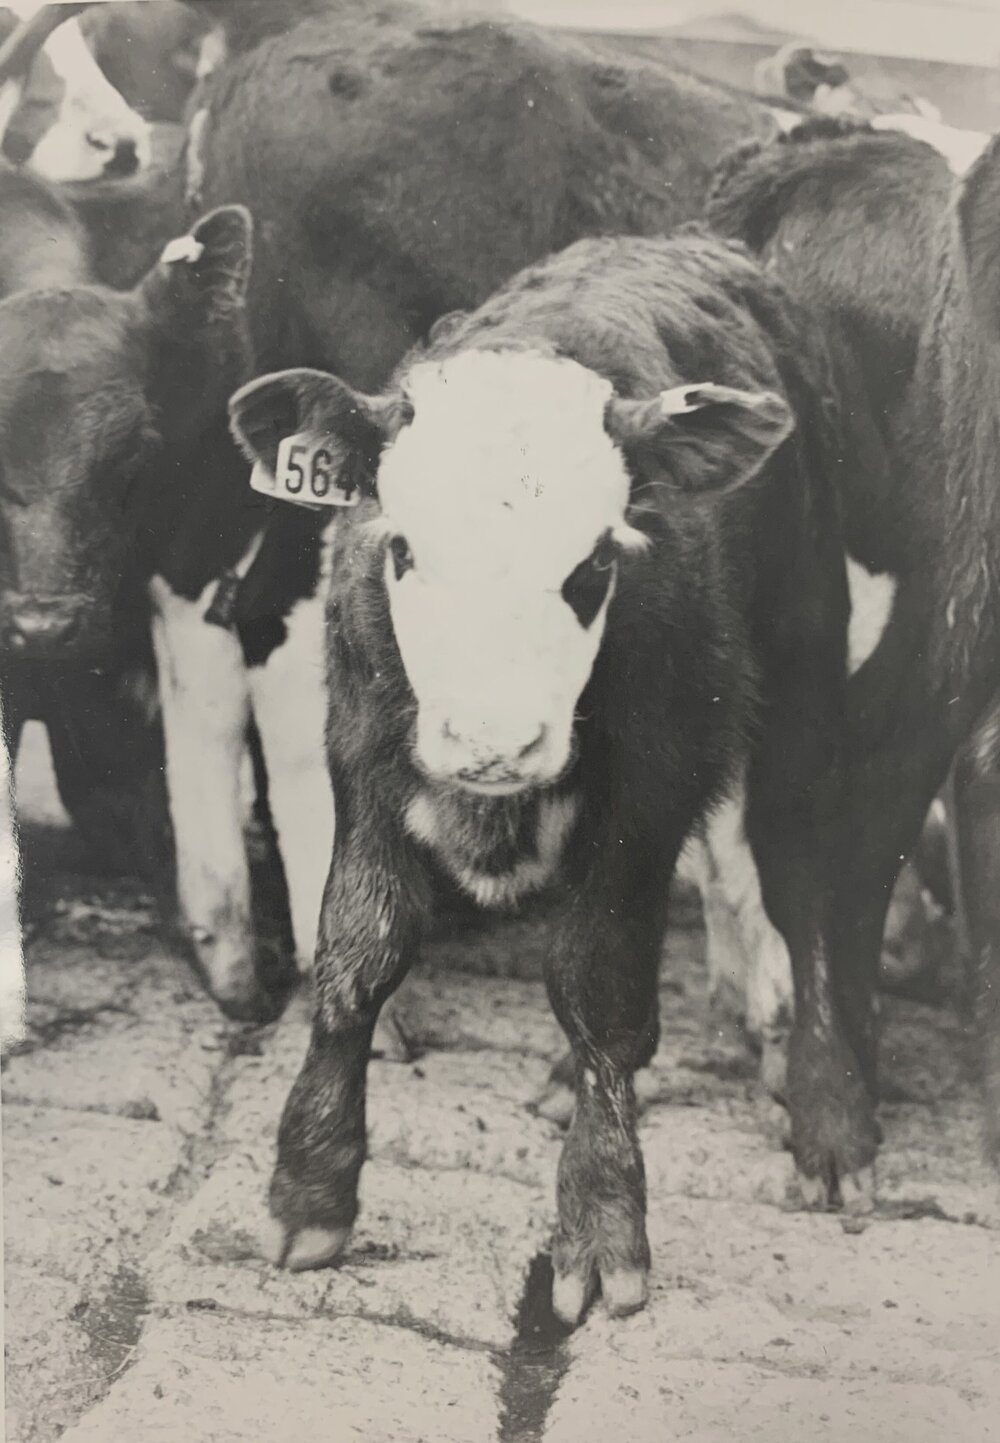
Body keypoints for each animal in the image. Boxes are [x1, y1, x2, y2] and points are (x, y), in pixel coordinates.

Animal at [227, 228, 853, 1319]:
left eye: (593, 566)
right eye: (403, 549)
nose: (494, 740)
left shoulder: (651, 779)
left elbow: (601, 986)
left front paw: (601, 1227)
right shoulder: (365, 742)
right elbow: (357, 952)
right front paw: (310, 1189)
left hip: (808, 661)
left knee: (803, 870)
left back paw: (826, 1117)